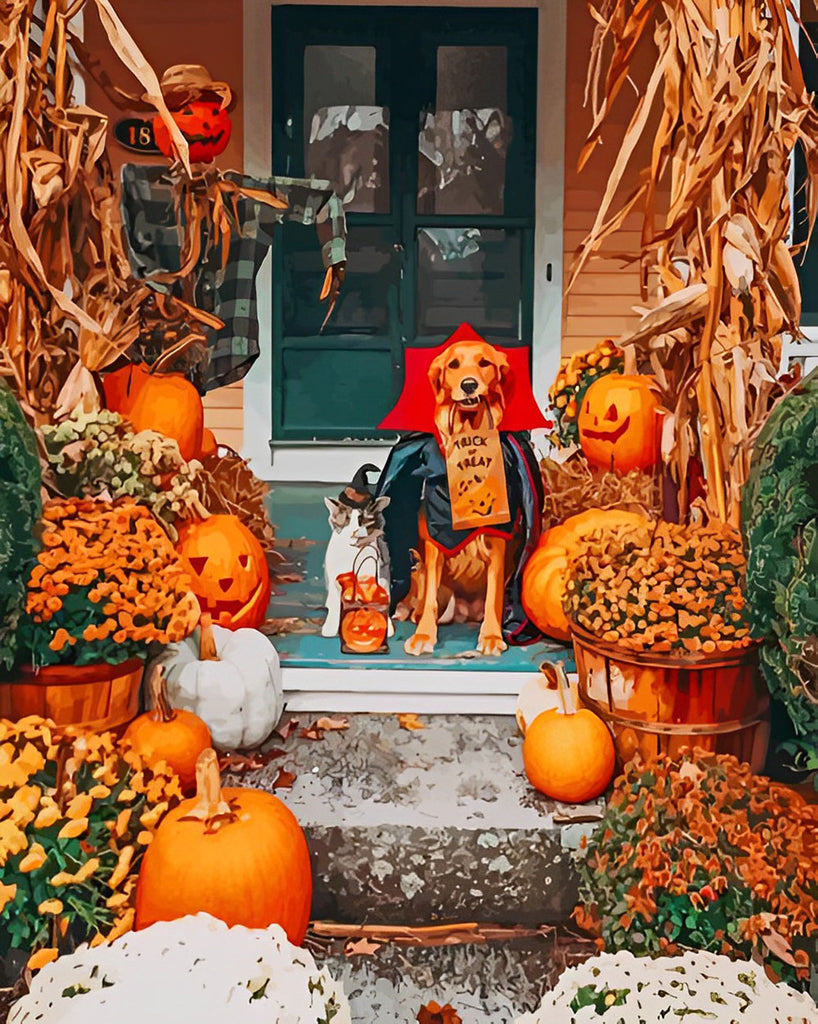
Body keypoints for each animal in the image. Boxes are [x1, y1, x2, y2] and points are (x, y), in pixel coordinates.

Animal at [321, 466, 395, 638]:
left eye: (364, 520)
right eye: (346, 520)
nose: (354, 531)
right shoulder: (335, 577)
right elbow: (335, 603)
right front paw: (331, 628)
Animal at [405, 335, 515, 655]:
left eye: (484, 362)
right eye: (453, 364)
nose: (469, 384)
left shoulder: (497, 544)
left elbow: (493, 597)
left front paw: (491, 637)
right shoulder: (435, 545)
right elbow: (429, 595)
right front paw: (423, 634)